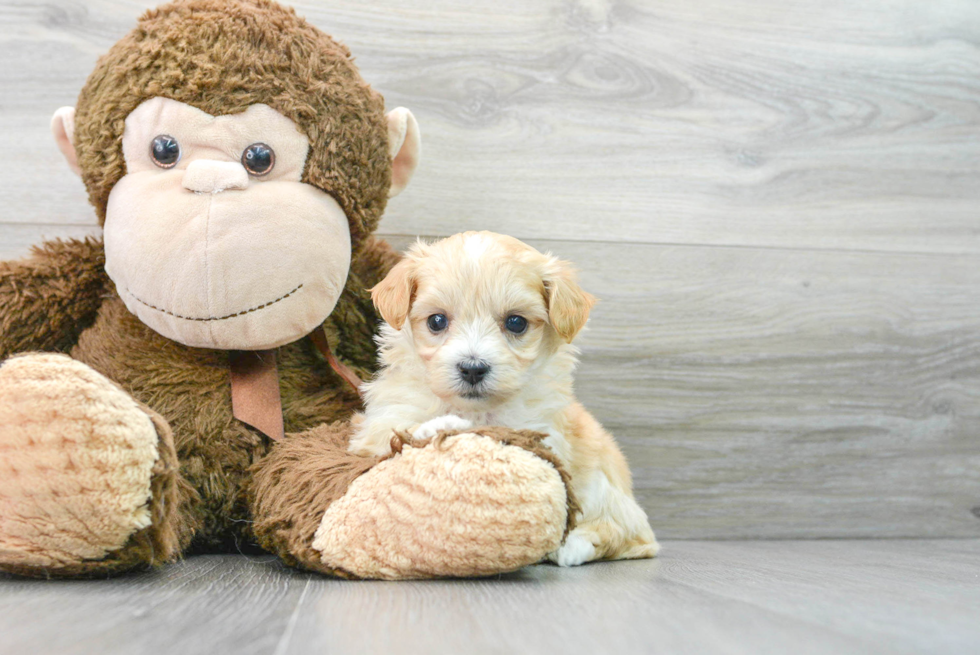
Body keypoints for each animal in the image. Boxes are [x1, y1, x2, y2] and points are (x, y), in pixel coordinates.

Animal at [348, 232, 664, 568]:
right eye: (436, 321)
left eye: (516, 322)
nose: (473, 368)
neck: (476, 411)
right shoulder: (381, 424)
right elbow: (394, 436)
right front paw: (438, 426)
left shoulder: (545, 435)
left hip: (608, 492)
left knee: (626, 534)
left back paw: (570, 547)